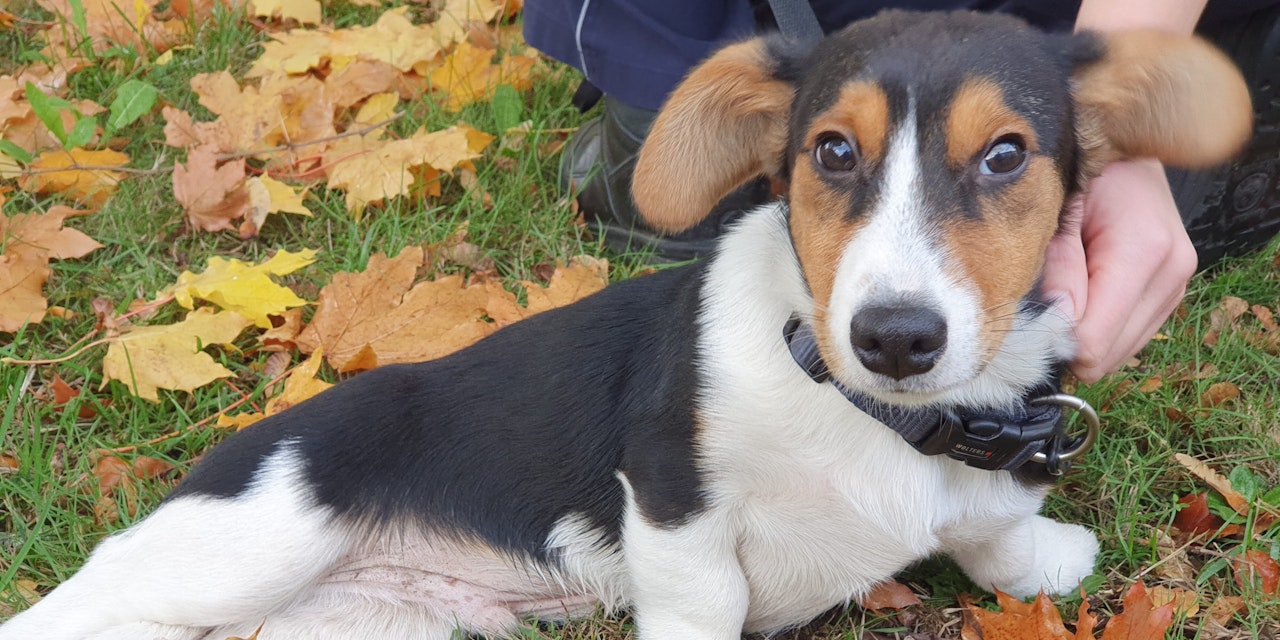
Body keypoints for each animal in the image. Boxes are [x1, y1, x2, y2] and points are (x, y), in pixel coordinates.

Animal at [0, 10, 1249, 640]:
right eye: (828, 152)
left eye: (1004, 155)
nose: (895, 337)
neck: (863, 412)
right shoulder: (673, 503)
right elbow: (708, 599)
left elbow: (991, 535)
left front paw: (1044, 556)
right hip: (236, 550)